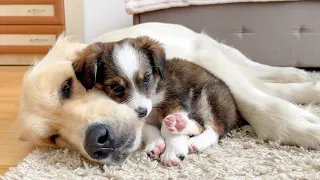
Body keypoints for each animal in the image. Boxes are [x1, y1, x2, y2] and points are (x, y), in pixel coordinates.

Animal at [73, 36, 245, 166]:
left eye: (146, 78)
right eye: (116, 87)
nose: (142, 112)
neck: (154, 92)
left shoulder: (175, 96)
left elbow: (166, 128)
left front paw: (173, 151)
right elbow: (149, 129)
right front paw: (155, 144)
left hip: (210, 94)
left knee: (215, 128)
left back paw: (194, 139)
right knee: (201, 126)